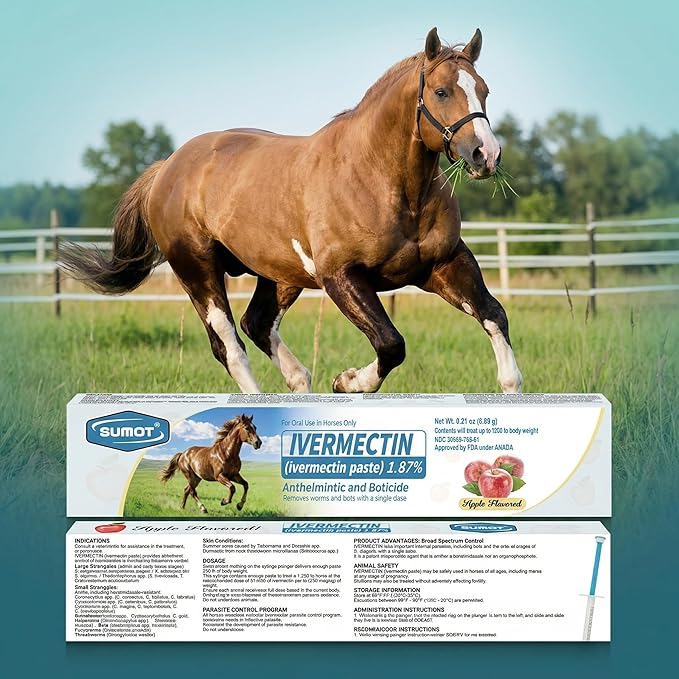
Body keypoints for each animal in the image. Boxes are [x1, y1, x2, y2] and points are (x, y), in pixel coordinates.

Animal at [62, 26, 523, 395]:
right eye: (441, 92)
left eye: (484, 90)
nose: (486, 154)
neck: (382, 181)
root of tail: (168, 167)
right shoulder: (341, 277)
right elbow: (391, 344)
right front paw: (348, 382)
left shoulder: (444, 264)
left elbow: (494, 316)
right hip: (197, 271)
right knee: (230, 346)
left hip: (279, 274)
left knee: (258, 324)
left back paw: (300, 382)